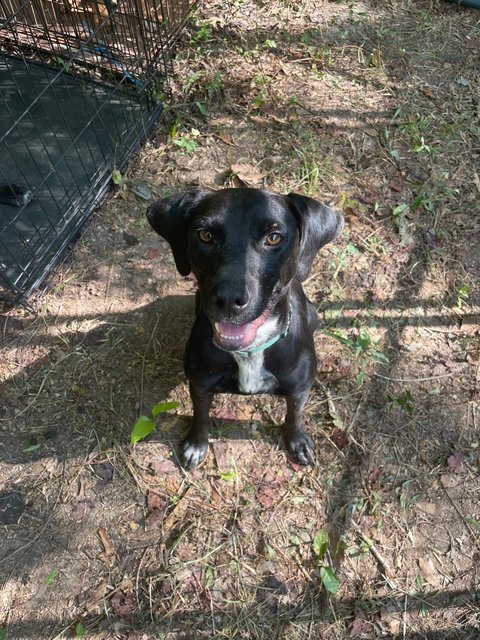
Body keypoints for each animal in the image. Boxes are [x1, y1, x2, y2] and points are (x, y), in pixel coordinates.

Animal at [146, 188, 342, 468]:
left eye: (273, 237)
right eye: (205, 235)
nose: (229, 299)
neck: (250, 350)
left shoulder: (299, 389)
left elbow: (295, 414)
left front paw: (297, 440)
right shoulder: (200, 384)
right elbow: (200, 414)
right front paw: (197, 443)